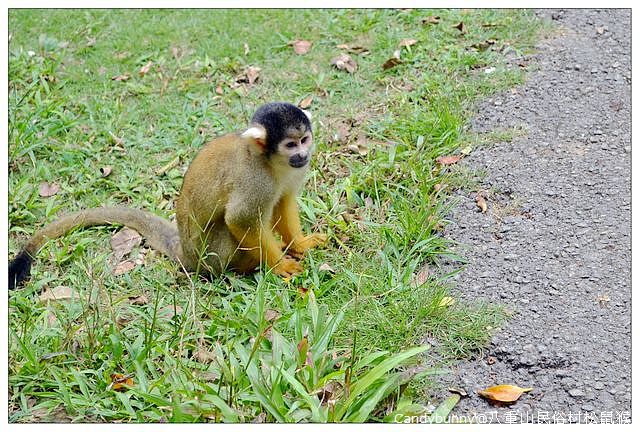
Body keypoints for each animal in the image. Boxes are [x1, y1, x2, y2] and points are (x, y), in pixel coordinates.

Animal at [9, 102, 328, 288]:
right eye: (290, 144)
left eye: (304, 140)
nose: (302, 155)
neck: (270, 162)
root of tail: (184, 252)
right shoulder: (255, 179)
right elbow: (240, 219)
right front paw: (280, 264)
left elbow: (283, 202)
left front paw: (299, 244)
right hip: (210, 256)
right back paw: (248, 265)